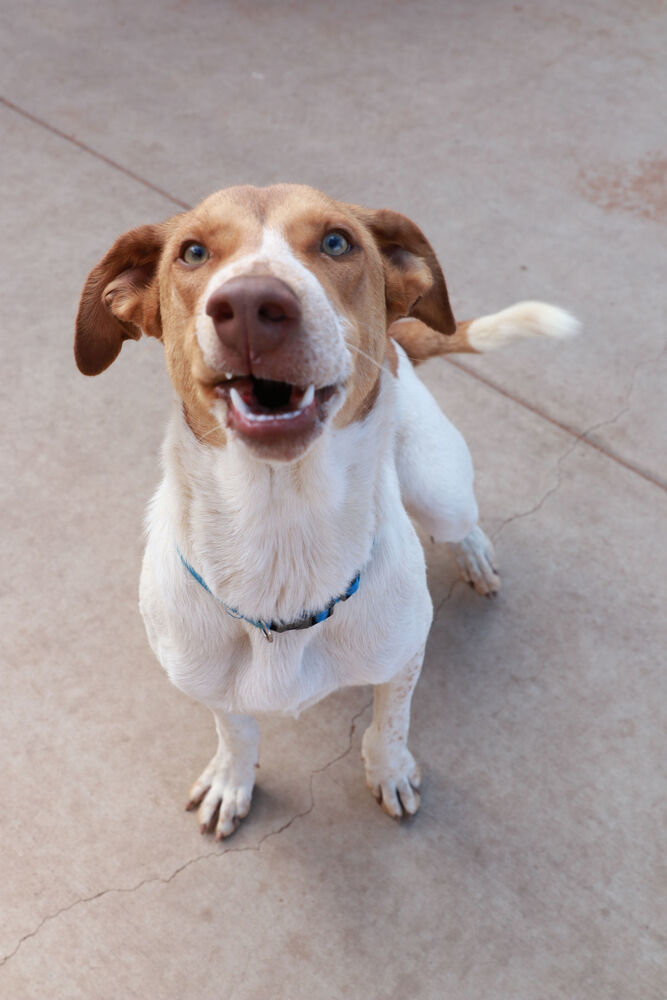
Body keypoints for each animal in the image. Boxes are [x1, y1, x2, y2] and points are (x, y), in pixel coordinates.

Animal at [74, 184, 580, 840]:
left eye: (337, 241)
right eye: (193, 252)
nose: (251, 304)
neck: (281, 532)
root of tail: (396, 344)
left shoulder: (404, 655)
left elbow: (390, 723)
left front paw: (390, 771)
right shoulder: (207, 682)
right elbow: (235, 729)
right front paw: (232, 779)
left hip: (439, 487)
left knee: (459, 521)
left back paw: (473, 554)